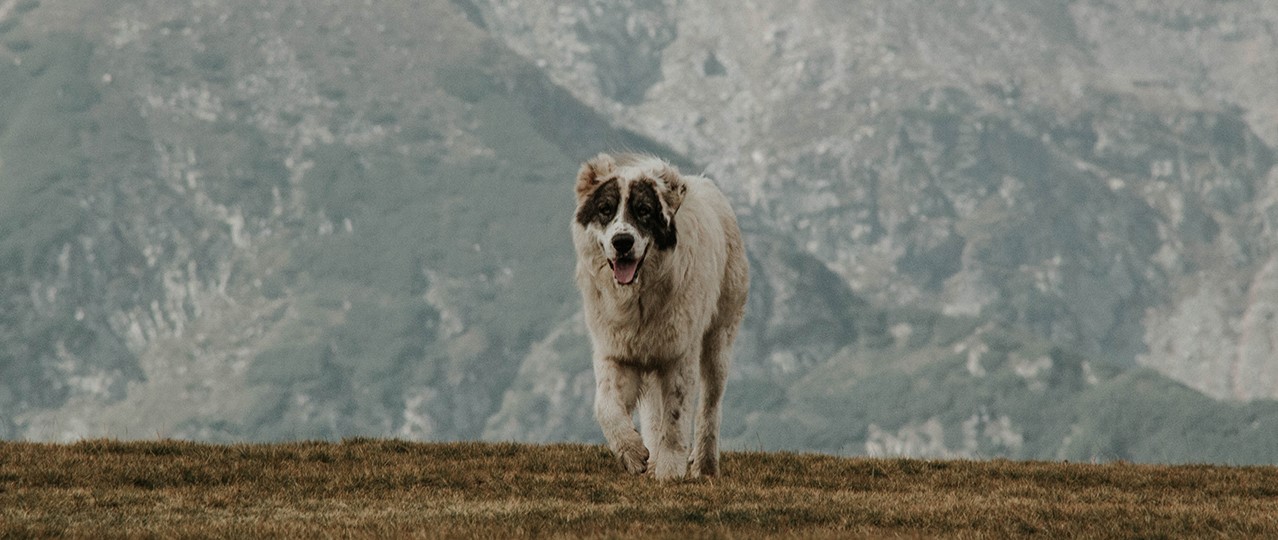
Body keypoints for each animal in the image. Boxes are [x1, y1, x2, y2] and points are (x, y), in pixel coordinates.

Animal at [572, 151, 746, 477]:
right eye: (605, 209)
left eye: (643, 211)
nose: (622, 242)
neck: (638, 297)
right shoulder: (615, 352)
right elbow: (606, 406)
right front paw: (633, 453)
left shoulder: (679, 356)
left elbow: (676, 418)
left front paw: (669, 470)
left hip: (719, 340)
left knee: (710, 405)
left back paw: (704, 465)